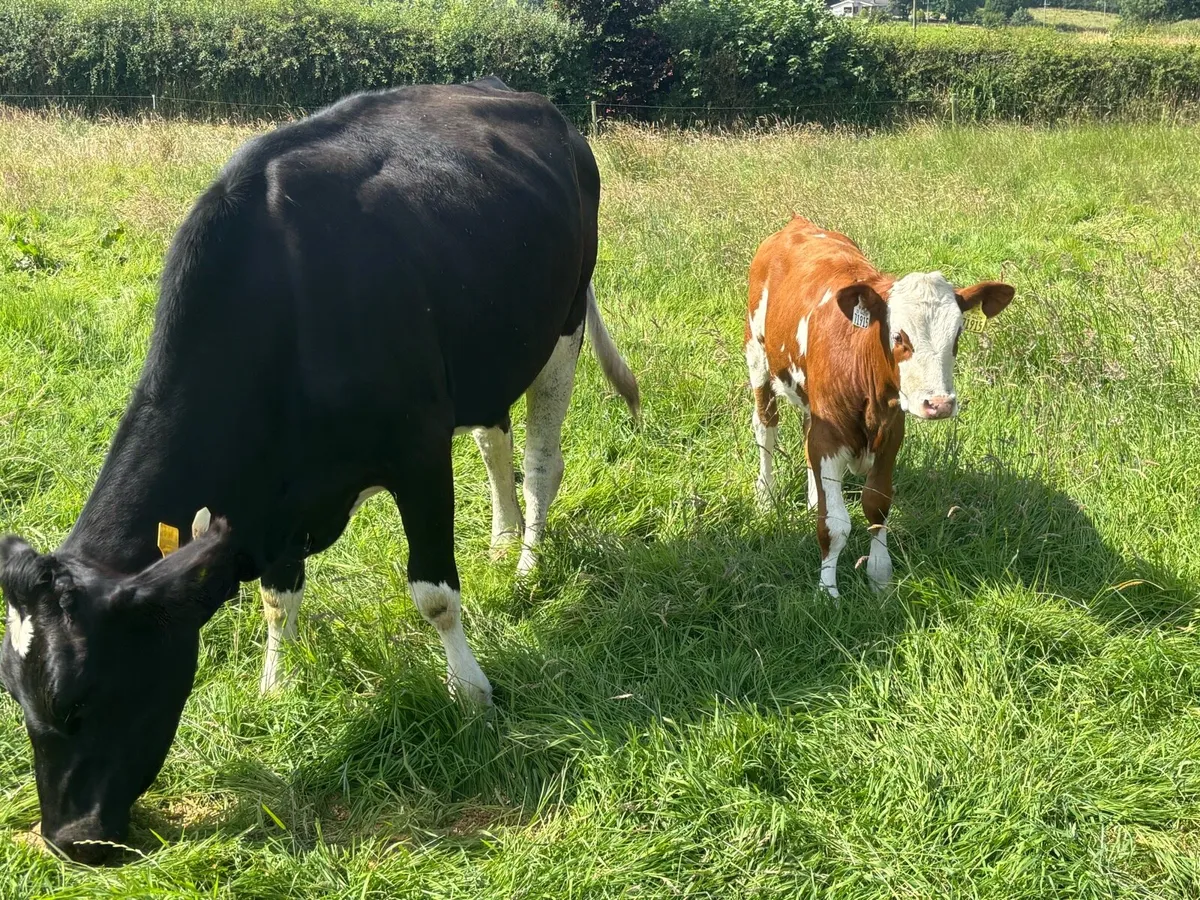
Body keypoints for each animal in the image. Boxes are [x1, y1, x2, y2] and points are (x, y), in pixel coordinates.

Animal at [0, 77, 639, 864]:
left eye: (79, 699)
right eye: (18, 698)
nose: (69, 840)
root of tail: (517, 95)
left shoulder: (417, 451)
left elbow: (434, 595)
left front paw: (471, 693)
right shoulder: (270, 503)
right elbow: (279, 600)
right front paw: (278, 688)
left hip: (564, 320)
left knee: (543, 460)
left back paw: (526, 562)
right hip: (487, 352)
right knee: (494, 442)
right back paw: (499, 540)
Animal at [745, 215, 1013, 597]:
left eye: (958, 334)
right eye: (899, 336)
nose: (939, 404)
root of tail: (798, 223)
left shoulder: (891, 432)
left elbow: (877, 504)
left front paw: (879, 577)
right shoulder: (829, 435)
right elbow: (835, 525)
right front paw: (828, 591)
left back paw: (812, 499)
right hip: (757, 355)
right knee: (766, 428)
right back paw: (766, 497)